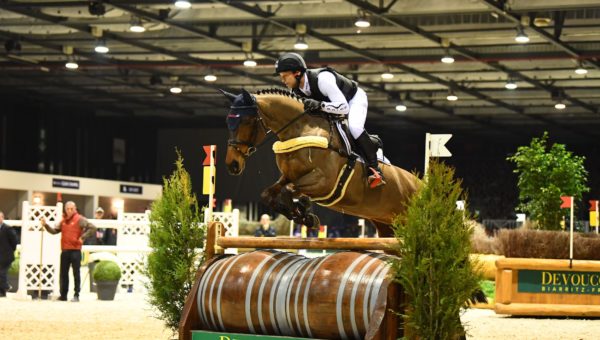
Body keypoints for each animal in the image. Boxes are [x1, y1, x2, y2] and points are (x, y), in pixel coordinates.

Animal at [221, 87, 418, 236]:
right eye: (228, 122)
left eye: (247, 121)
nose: (232, 164)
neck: (301, 130)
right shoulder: (288, 176)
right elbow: (269, 194)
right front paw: (303, 215)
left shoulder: (323, 181)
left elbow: (288, 190)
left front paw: (304, 212)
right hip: (387, 225)